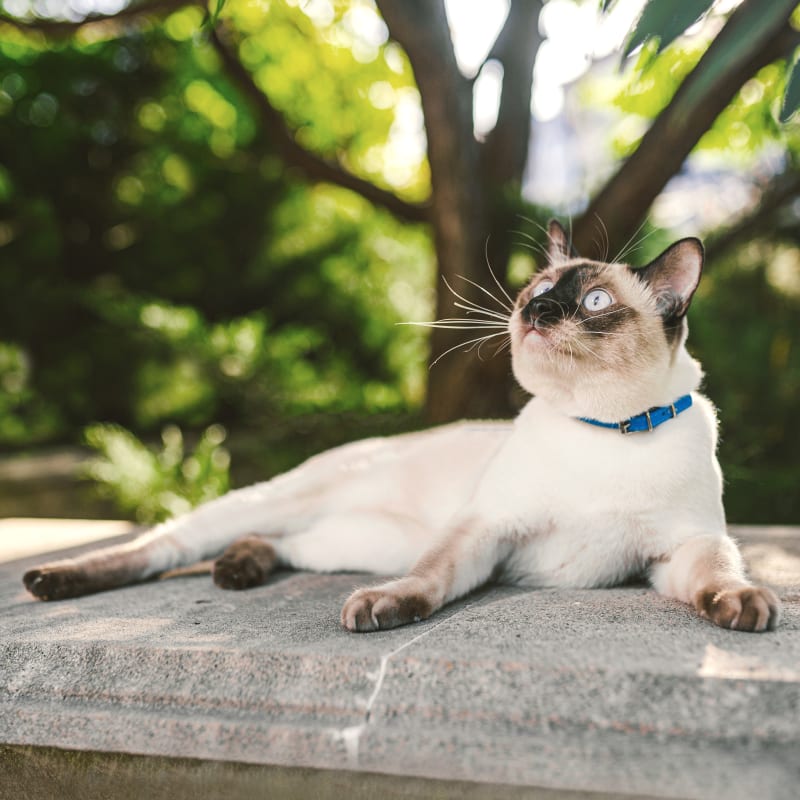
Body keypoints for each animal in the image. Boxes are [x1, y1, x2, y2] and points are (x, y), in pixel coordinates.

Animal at [23, 220, 780, 632]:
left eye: (593, 303)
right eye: (538, 292)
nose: (535, 314)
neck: (601, 428)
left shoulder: (681, 550)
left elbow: (721, 578)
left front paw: (746, 606)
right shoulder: (483, 533)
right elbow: (427, 582)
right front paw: (384, 610)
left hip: (353, 540)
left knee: (281, 543)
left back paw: (239, 570)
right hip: (282, 505)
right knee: (163, 546)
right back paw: (49, 581)